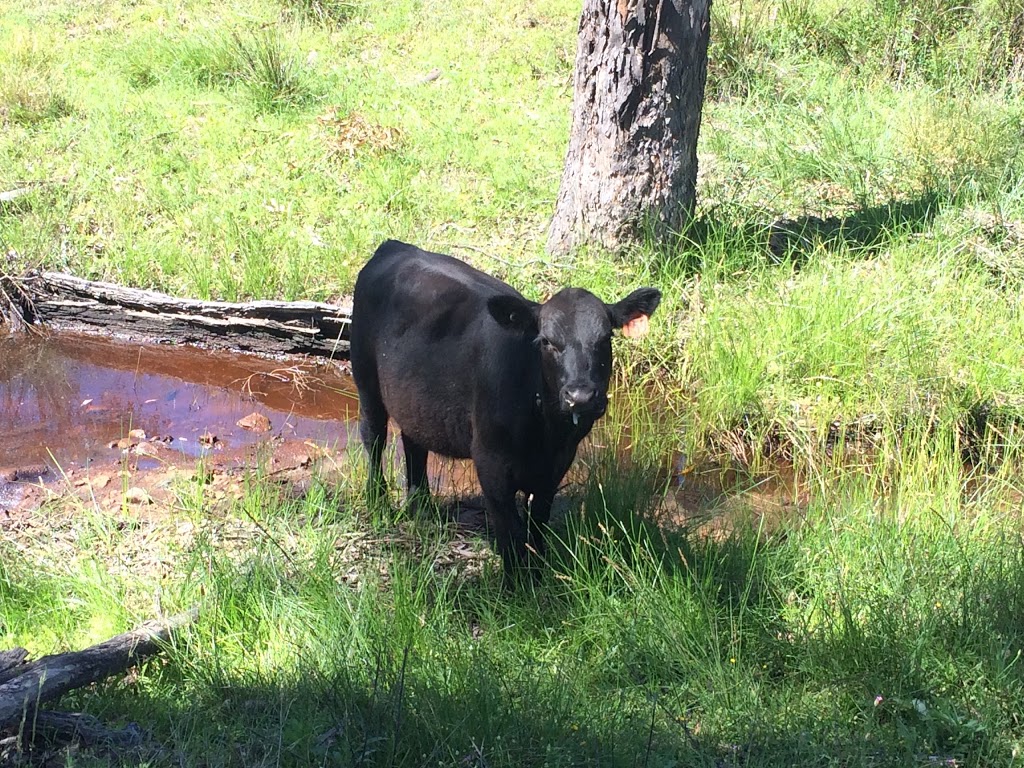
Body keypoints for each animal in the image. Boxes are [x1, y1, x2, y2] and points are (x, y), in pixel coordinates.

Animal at [348, 240, 659, 581]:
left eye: (605, 339)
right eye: (546, 341)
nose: (581, 396)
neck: (545, 432)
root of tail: (395, 246)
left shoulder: (558, 462)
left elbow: (538, 521)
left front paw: (537, 571)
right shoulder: (490, 460)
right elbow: (510, 529)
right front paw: (514, 583)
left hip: (414, 400)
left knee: (414, 444)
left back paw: (422, 509)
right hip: (365, 377)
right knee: (373, 437)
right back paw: (378, 505)